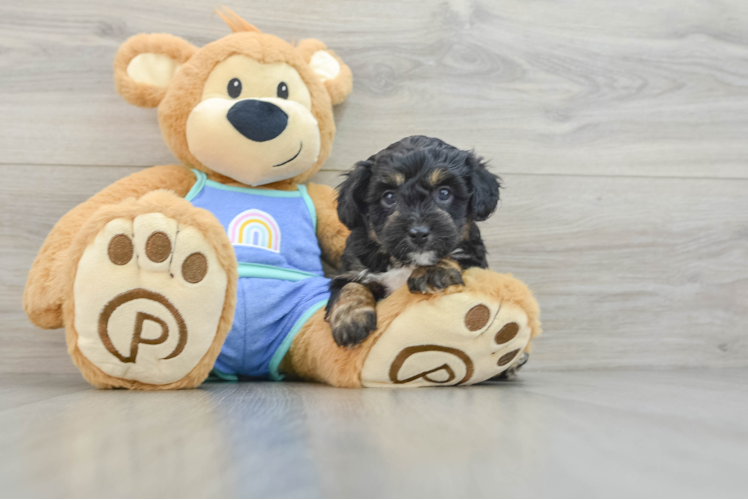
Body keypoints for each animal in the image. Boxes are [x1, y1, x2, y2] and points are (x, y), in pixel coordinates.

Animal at [328, 137, 502, 348]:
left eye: (444, 193)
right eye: (389, 196)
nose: (419, 233)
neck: (403, 262)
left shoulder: (475, 259)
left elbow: (454, 255)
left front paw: (432, 271)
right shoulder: (350, 267)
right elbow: (349, 286)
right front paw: (350, 321)